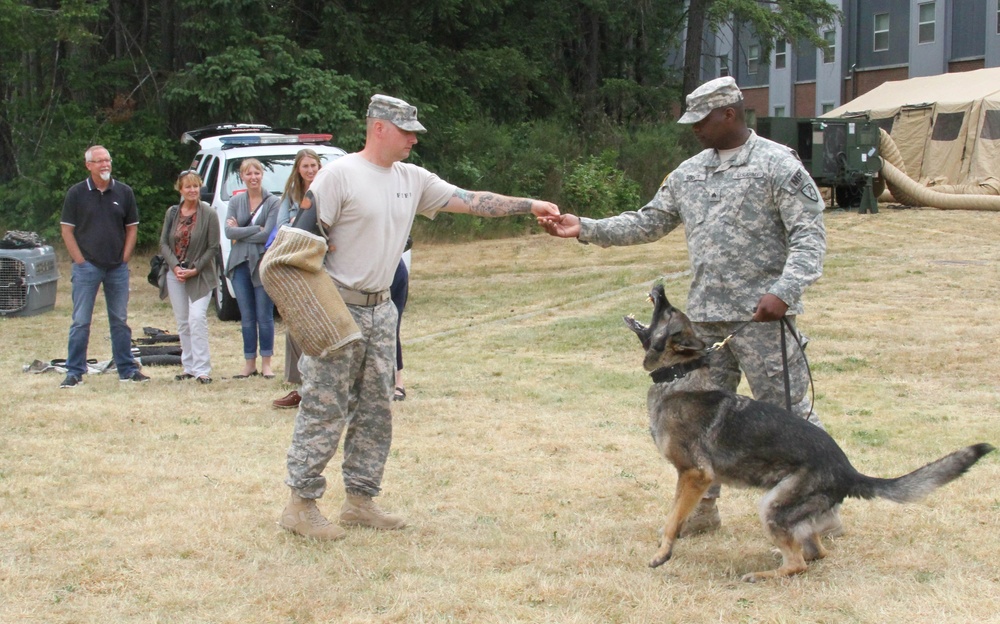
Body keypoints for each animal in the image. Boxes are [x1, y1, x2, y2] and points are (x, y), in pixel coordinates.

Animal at [624, 286, 992, 584]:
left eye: (668, 310)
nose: (659, 286)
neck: (678, 376)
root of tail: (849, 471)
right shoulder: (691, 479)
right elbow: (675, 513)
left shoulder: (694, 475)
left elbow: (673, 517)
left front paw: (663, 553)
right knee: (814, 553)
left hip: (771, 505)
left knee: (799, 564)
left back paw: (762, 574)